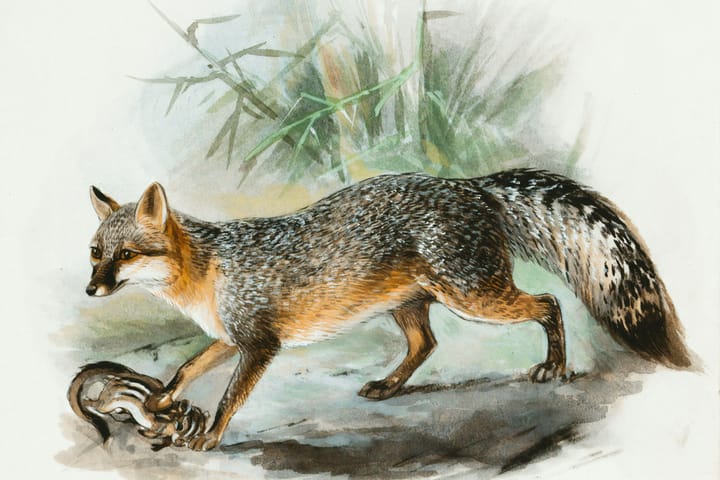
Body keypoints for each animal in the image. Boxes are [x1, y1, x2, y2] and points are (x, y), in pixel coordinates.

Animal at [85, 169, 691, 451]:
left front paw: (209, 435)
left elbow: (230, 396)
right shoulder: (233, 337)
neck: (208, 272)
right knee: (428, 343)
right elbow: (188, 367)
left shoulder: (259, 344)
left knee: (549, 302)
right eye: (96, 253)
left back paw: (554, 366)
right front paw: (161, 398)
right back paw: (389, 385)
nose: (91, 291)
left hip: (475, 298)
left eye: (126, 256)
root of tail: (468, 186)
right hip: (414, 306)